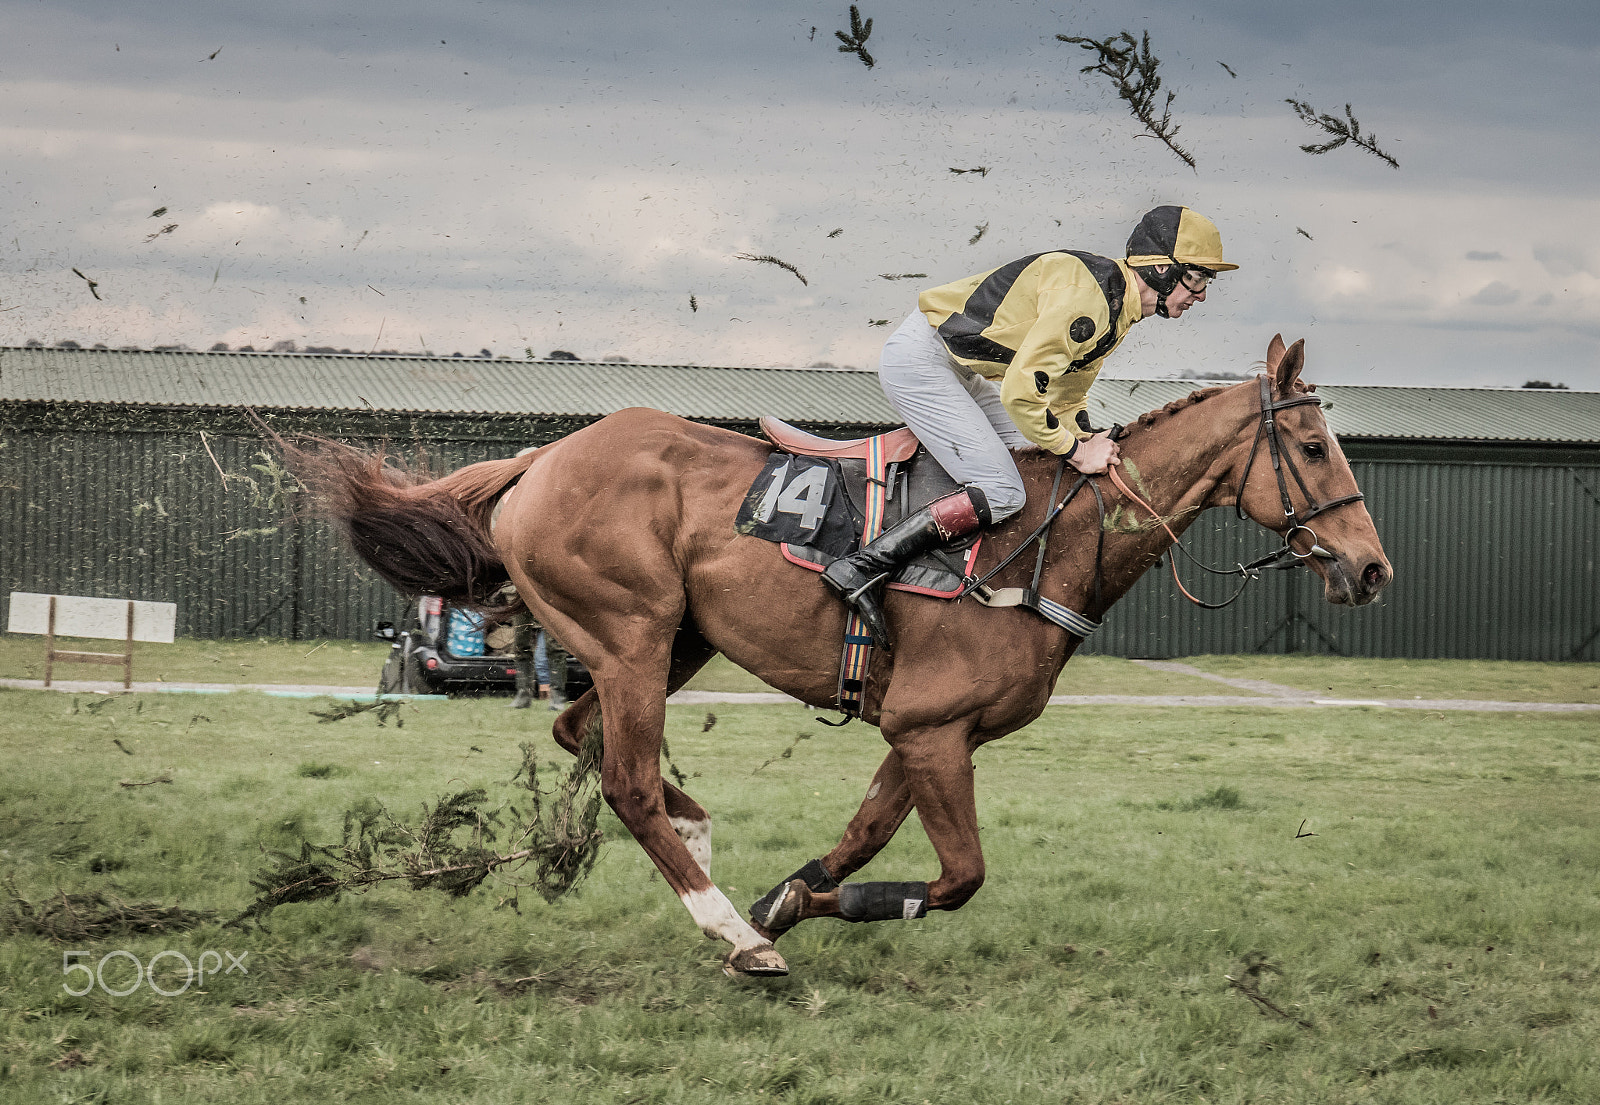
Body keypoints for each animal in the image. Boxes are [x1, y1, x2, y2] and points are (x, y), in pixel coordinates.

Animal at [299, 334, 1391, 977]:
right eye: (1312, 448)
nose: (1371, 568)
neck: (1049, 536)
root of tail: (543, 456)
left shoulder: (930, 731)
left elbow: (868, 834)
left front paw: (793, 893)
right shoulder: (931, 728)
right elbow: (958, 876)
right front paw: (788, 911)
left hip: (662, 640)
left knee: (584, 734)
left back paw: (710, 857)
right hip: (633, 636)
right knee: (627, 778)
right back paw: (730, 931)